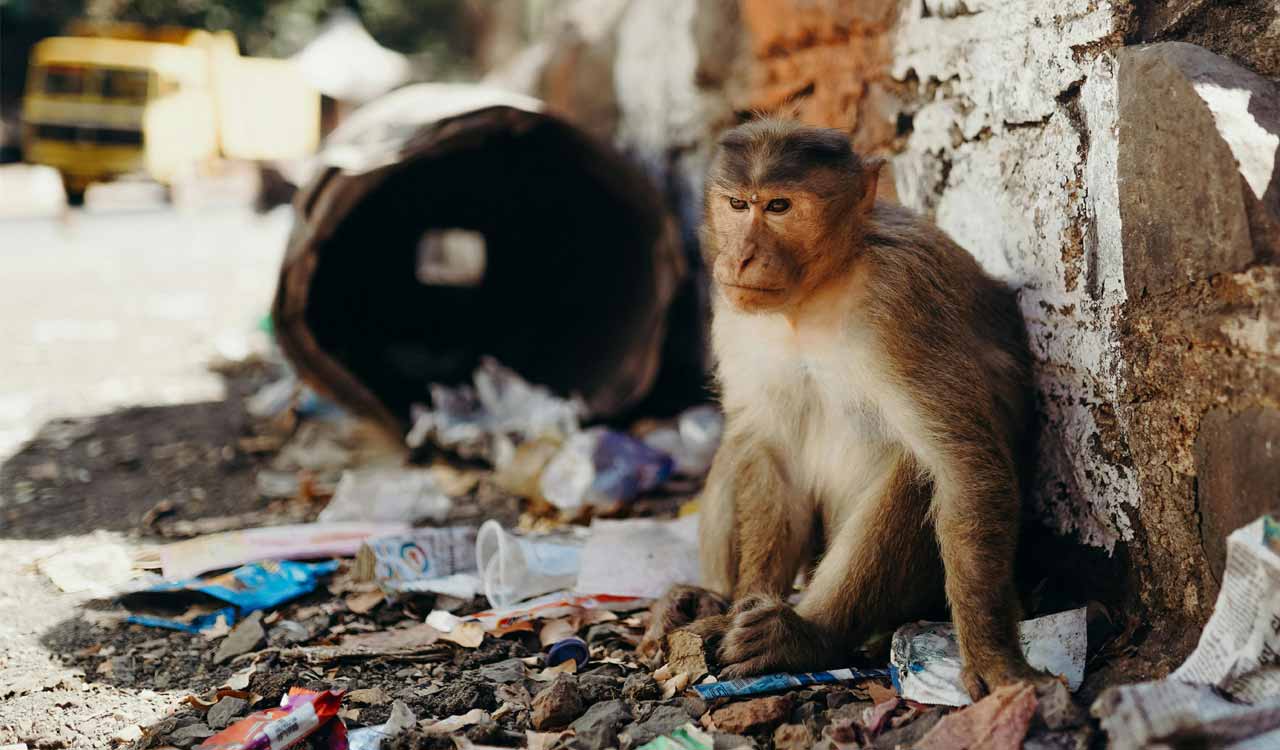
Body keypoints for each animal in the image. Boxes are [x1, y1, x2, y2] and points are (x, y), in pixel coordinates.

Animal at [639, 118, 1044, 700]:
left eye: (779, 207)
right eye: (738, 204)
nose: (740, 257)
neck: (816, 291)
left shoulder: (900, 301)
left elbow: (964, 467)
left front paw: (991, 654)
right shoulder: (733, 309)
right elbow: (770, 448)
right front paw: (746, 600)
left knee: (914, 470)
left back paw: (806, 635)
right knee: (741, 441)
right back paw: (707, 600)